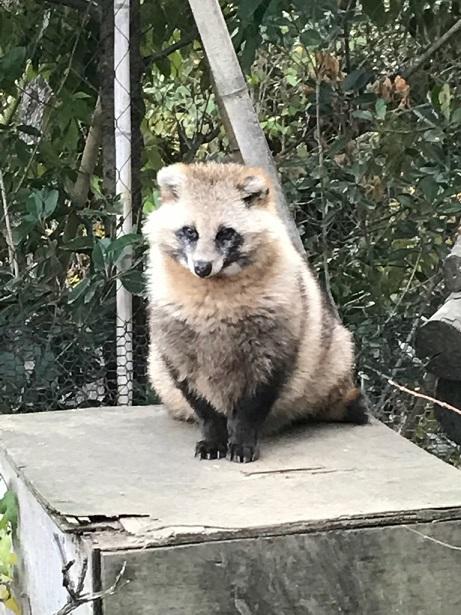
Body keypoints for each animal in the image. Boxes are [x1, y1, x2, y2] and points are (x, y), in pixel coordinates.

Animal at [144, 162, 366, 462]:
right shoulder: (174, 341)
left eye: (225, 233)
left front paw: (242, 439)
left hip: (335, 352)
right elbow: (201, 402)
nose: (202, 268)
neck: (213, 291)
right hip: (156, 369)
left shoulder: (276, 340)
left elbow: (254, 404)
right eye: (190, 231)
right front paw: (213, 436)